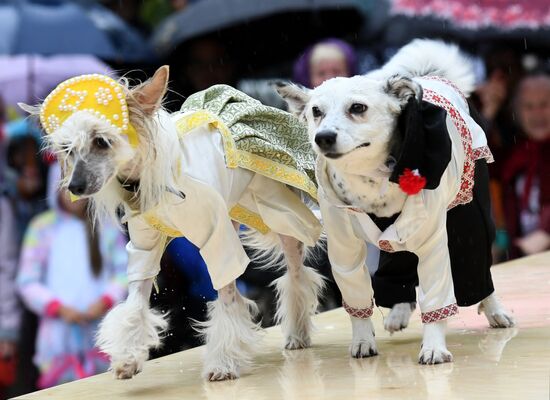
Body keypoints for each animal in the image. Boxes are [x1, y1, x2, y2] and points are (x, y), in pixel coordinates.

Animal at [21, 68, 326, 382]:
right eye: (67, 149)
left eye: (102, 141)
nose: (75, 187)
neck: (143, 178)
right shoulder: (144, 245)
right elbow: (136, 300)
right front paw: (127, 358)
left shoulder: (216, 237)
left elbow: (228, 296)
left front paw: (223, 362)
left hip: (276, 207)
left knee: (296, 272)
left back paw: (298, 332)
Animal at [280, 39, 516, 362]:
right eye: (316, 111)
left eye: (357, 108)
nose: (323, 137)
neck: (371, 179)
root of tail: (427, 76)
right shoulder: (344, 249)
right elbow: (356, 298)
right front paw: (363, 340)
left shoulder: (433, 241)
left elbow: (436, 297)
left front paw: (433, 346)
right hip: (395, 239)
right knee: (400, 262)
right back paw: (399, 310)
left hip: (467, 215)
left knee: (476, 262)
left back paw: (494, 310)